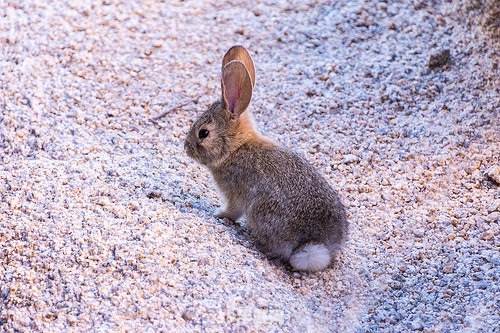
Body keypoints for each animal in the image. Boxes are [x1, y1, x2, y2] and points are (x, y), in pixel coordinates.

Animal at [185, 44, 348, 272]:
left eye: (203, 133)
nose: (186, 148)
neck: (236, 148)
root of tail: (313, 244)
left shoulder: (235, 194)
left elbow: (232, 210)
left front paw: (218, 214)